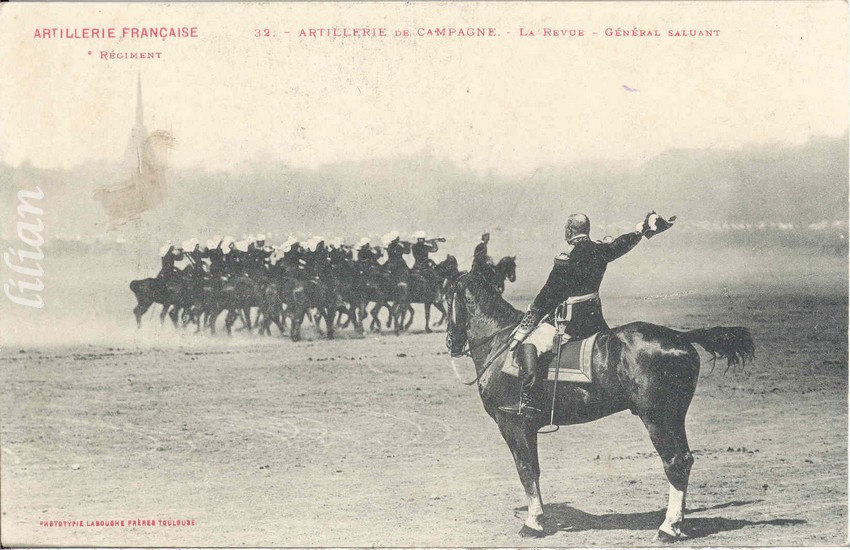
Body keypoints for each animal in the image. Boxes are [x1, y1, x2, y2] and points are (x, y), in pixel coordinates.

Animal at [448, 274, 752, 540]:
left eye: (446, 296)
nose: (452, 343)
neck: (502, 346)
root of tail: (679, 337)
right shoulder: (527, 428)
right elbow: (533, 469)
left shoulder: (513, 424)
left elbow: (526, 469)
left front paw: (533, 523)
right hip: (675, 417)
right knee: (685, 460)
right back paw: (677, 525)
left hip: (656, 417)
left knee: (674, 462)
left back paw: (667, 529)